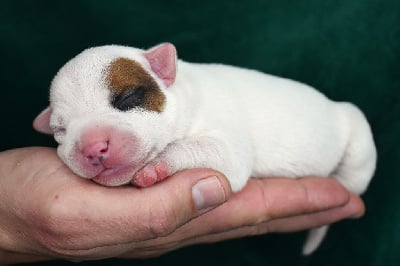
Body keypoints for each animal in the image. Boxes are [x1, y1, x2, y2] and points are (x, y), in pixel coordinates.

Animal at [32, 42, 376, 255]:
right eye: (60, 131)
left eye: (127, 99)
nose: (92, 148)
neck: (185, 93)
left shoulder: (229, 146)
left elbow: (206, 149)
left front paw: (156, 166)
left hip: (358, 139)